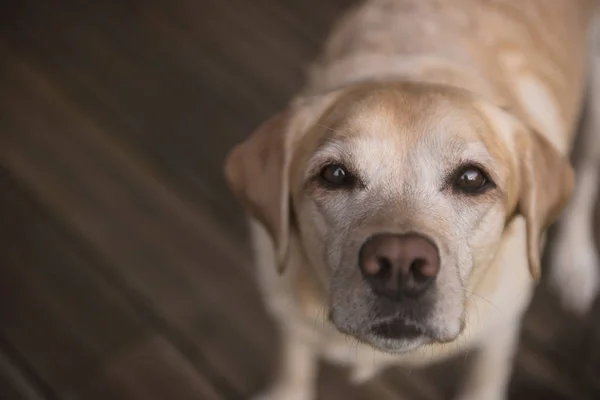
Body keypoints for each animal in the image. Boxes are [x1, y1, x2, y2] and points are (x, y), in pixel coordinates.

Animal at [223, 1, 600, 398]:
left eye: (471, 179)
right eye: (335, 174)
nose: (400, 263)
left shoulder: (500, 332)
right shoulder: (289, 318)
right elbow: (293, 368)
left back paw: (575, 263)